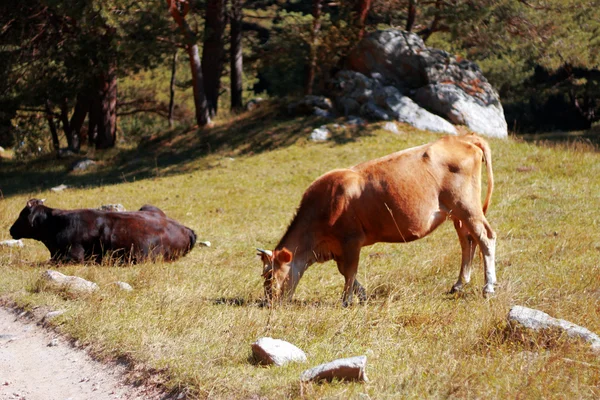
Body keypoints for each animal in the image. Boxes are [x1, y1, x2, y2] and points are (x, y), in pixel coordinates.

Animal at [258, 133, 496, 304]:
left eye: (268, 275)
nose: (268, 302)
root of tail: (463, 138)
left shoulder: (351, 241)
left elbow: (349, 271)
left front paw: (346, 301)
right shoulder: (338, 248)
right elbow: (346, 271)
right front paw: (361, 294)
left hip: (468, 207)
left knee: (486, 238)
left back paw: (489, 287)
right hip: (457, 214)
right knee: (468, 241)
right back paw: (459, 284)